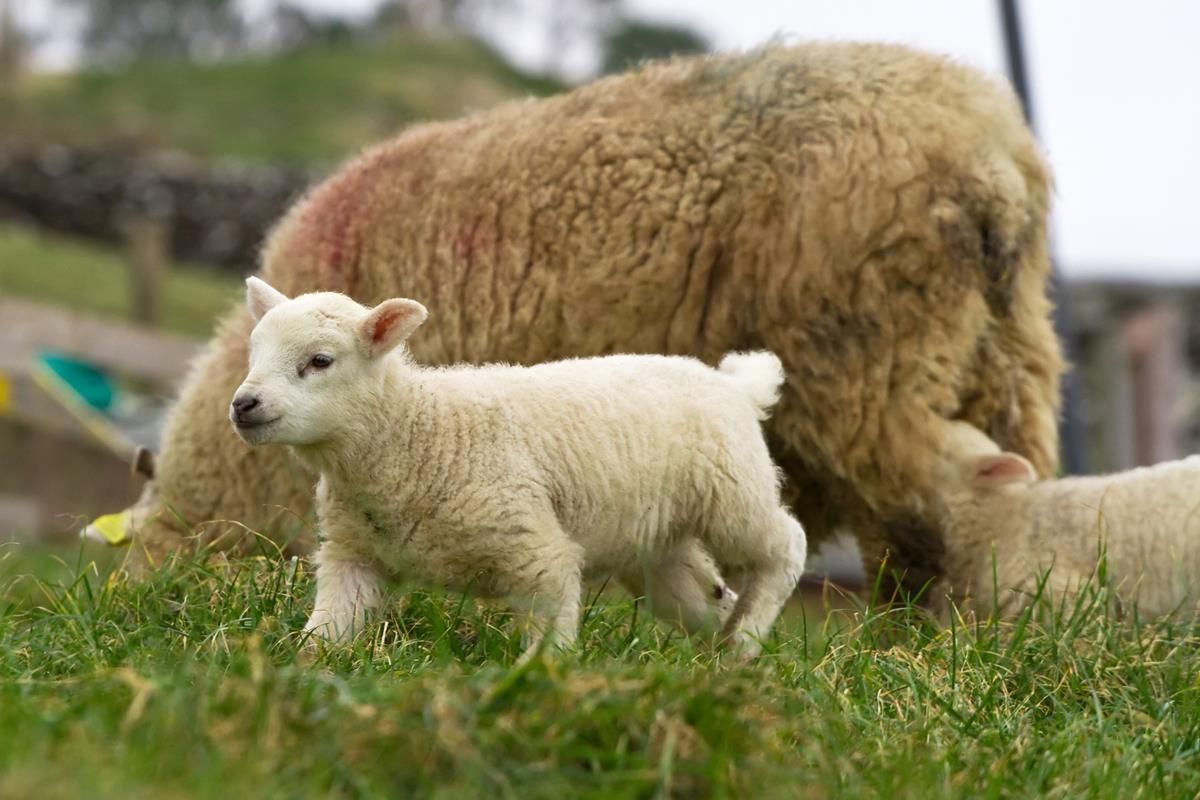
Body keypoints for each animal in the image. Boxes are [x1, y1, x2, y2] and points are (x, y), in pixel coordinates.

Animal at [229, 277, 806, 658]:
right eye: (253, 354)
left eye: (320, 361)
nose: (243, 404)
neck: (415, 431)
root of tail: (735, 384)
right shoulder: (352, 555)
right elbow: (331, 626)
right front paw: (304, 666)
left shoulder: (537, 549)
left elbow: (550, 632)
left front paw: (542, 682)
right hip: (658, 545)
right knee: (705, 595)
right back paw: (721, 652)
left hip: (732, 492)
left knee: (785, 544)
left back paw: (745, 644)